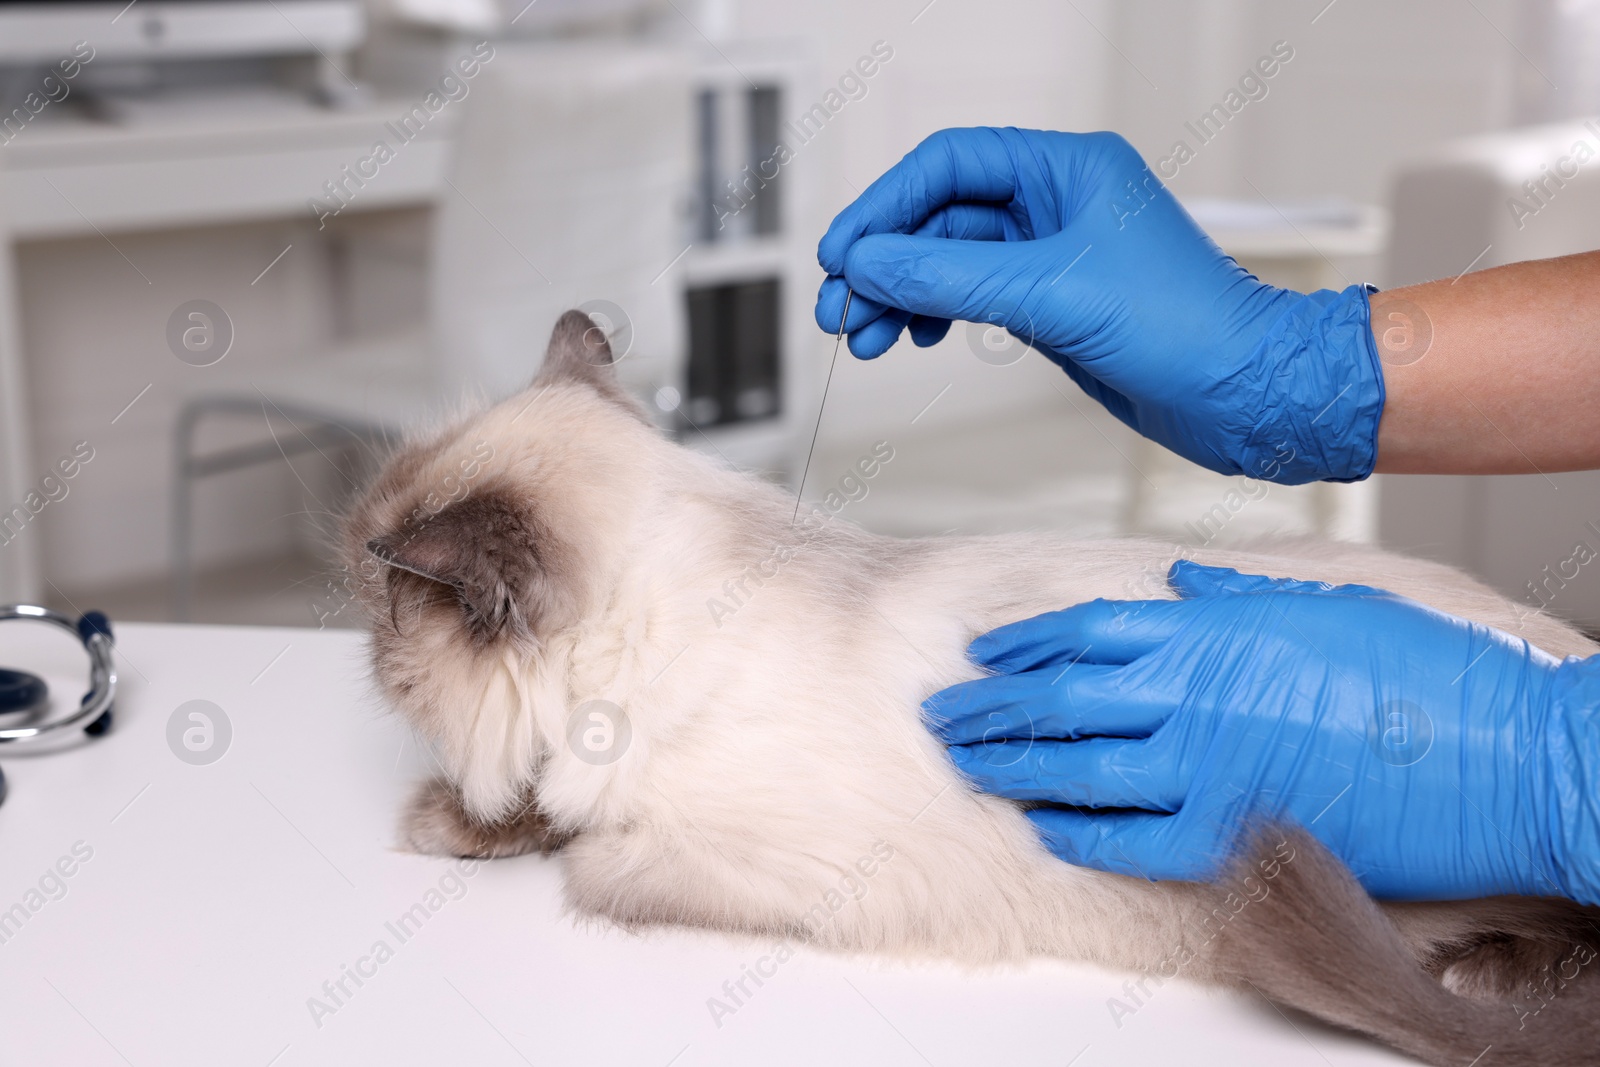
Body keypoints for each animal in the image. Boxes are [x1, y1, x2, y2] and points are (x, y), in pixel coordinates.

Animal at [337, 313, 1600, 1062]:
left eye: (384, 600)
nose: (361, 648)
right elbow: (537, 803)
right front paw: (460, 819)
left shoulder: (702, 858)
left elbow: (579, 850)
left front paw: (443, 822)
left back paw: (1489, 971)